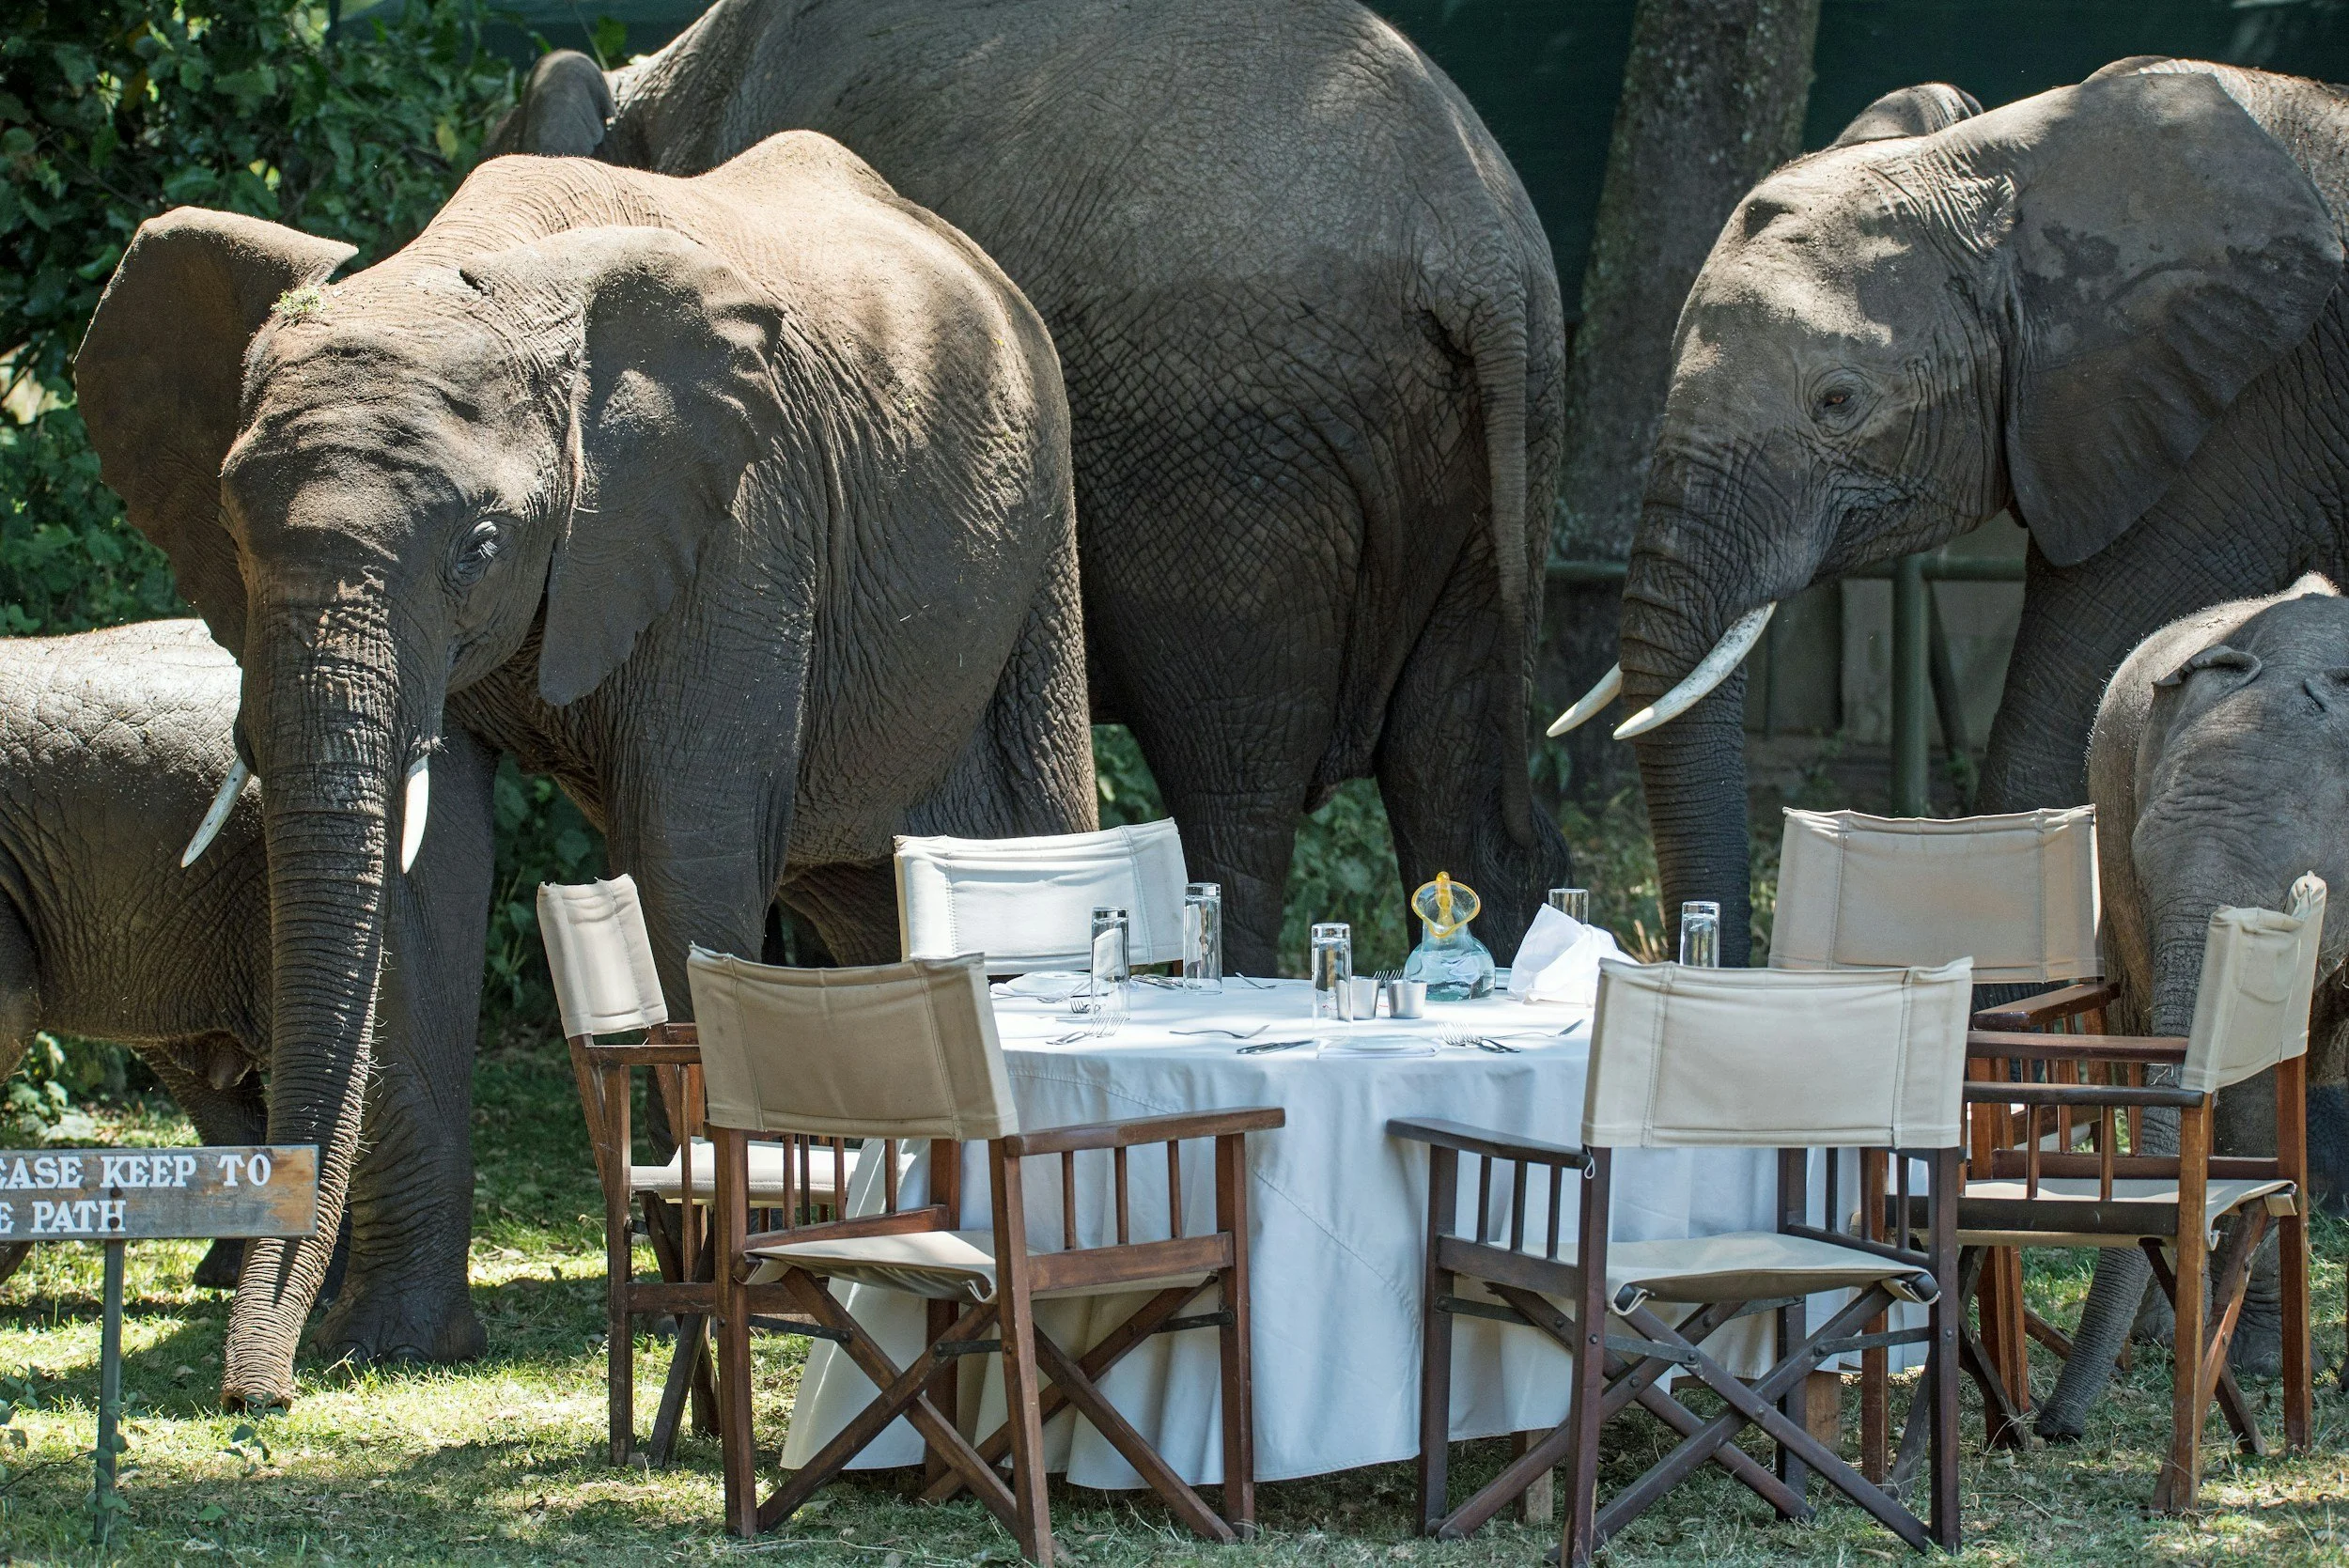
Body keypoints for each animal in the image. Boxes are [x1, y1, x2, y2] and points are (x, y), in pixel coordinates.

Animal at [74, 129, 1093, 1406]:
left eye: (478, 547)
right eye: (228, 528)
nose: (258, 1396)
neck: (476, 269)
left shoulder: (742, 522)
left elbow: (682, 845)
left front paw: (730, 1293)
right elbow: (427, 873)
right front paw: (393, 1344)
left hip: (1039, 546)